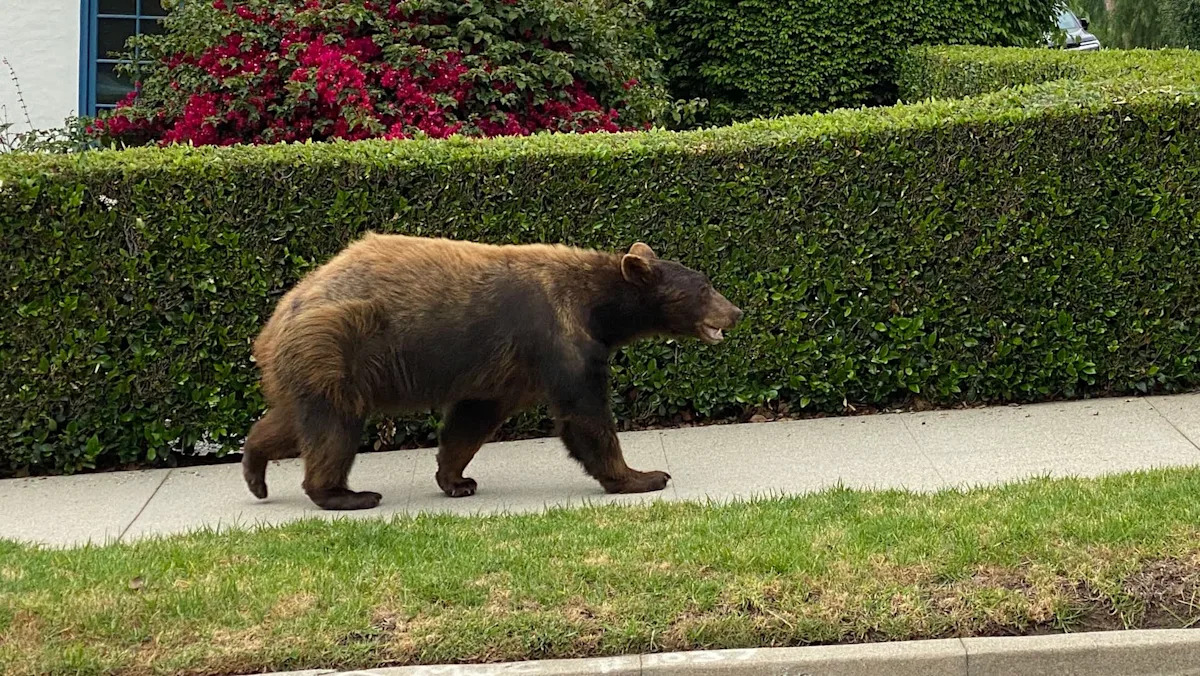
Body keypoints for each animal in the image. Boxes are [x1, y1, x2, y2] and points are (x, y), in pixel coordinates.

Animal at [241, 233, 743, 510]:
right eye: (704, 288)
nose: (736, 311)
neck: (599, 308)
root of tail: (276, 320)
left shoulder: (504, 369)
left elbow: (473, 418)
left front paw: (457, 479)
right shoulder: (557, 337)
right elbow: (584, 415)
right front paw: (643, 476)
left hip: (308, 365)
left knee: (293, 421)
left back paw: (256, 470)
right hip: (336, 347)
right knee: (334, 427)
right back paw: (347, 494)